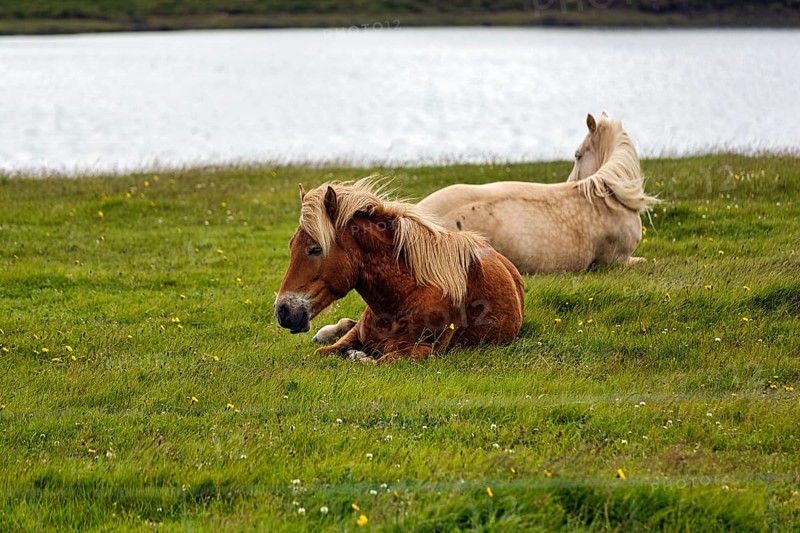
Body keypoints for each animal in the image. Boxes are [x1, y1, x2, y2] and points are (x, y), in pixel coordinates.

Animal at [274, 178, 525, 364]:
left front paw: (358, 356)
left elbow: (376, 361)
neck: (402, 297)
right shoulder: (356, 335)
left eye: (315, 249)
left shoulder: (422, 350)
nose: (283, 311)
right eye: (291, 246)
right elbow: (324, 351)